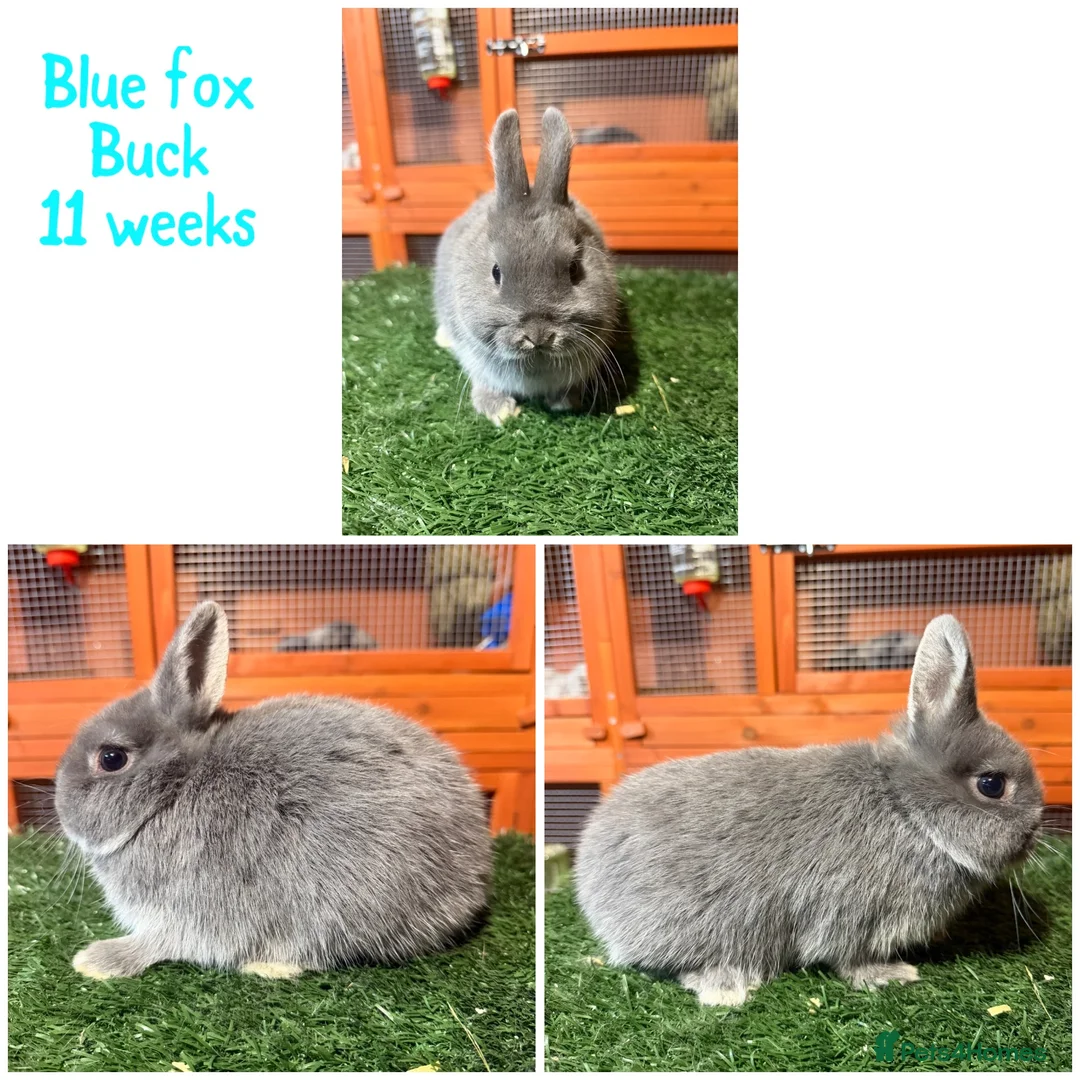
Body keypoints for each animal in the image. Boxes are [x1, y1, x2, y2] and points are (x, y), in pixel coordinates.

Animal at [54, 601, 491, 981]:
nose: (61, 811)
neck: (172, 792)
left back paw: (267, 965)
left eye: (111, 758)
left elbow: (159, 942)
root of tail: (474, 880)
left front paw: (96, 961)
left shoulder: (188, 907)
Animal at [575, 615, 1043, 1006]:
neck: (907, 810)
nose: (1035, 830)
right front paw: (893, 975)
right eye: (992, 785)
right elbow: (851, 958)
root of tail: (588, 882)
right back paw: (727, 988)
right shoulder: (854, 915)